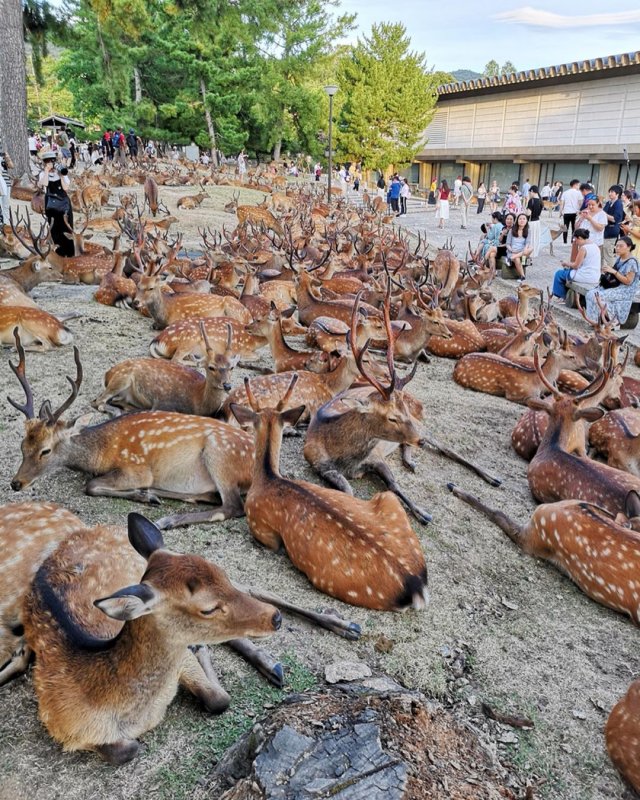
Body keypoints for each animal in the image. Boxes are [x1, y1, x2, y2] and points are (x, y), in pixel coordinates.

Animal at [6, 332, 255, 532]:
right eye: (22, 446)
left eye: (45, 450)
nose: (16, 483)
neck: (103, 451)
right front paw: (146, 494)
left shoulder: (136, 468)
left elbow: (91, 486)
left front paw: (142, 495)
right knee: (212, 497)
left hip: (219, 454)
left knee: (233, 506)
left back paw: (166, 518)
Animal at [23, 510, 282, 764]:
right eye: (208, 609)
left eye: (222, 572)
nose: (275, 617)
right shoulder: (61, 725)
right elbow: (127, 750)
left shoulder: (182, 661)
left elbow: (220, 699)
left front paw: (201, 654)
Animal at [92, 320, 238, 416]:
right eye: (211, 367)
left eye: (231, 367)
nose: (227, 385)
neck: (197, 400)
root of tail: (107, 374)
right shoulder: (164, 403)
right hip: (122, 378)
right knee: (98, 401)